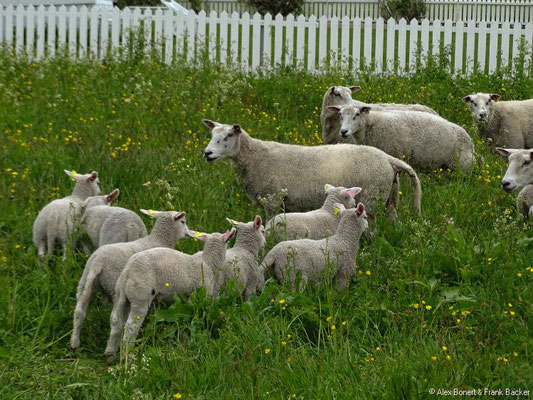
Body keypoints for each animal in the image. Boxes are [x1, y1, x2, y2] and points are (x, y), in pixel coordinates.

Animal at [69, 209, 188, 350]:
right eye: (183, 222)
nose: (188, 234)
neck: (159, 239)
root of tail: (98, 262)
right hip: (114, 285)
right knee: (118, 319)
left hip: (85, 281)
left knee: (79, 311)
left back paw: (74, 342)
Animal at [105, 228, 234, 360]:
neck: (208, 263)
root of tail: (128, 271)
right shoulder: (199, 296)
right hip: (140, 294)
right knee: (131, 325)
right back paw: (128, 357)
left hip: (121, 294)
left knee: (115, 320)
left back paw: (110, 354)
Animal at [202, 119, 422, 225]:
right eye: (212, 134)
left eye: (229, 135)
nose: (207, 153)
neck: (255, 157)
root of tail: (388, 159)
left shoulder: (272, 199)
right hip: (390, 196)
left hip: (371, 197)